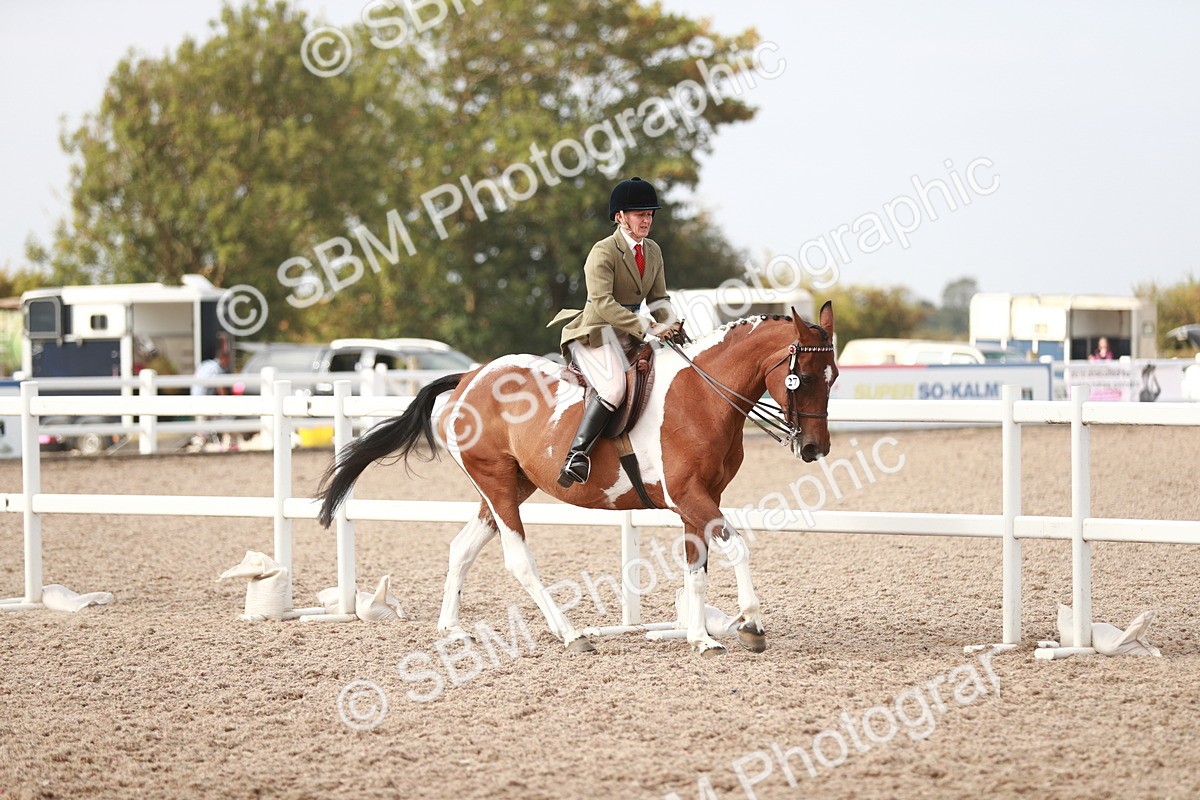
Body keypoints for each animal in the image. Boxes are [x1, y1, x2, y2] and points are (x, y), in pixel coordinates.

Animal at [317, 302, 837, 656]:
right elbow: (737, 548)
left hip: (507, 486)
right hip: (498, 485)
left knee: (462, 548)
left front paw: (699, 638)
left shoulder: (697, 500)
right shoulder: (689, 496)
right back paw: (570, 634)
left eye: (832, 376)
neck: (702, 396)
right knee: (519, 561)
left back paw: (453, 629)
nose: (815, 449)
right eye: (805, 377)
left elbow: (697, 568)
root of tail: (470, 376)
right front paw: (751, 625)